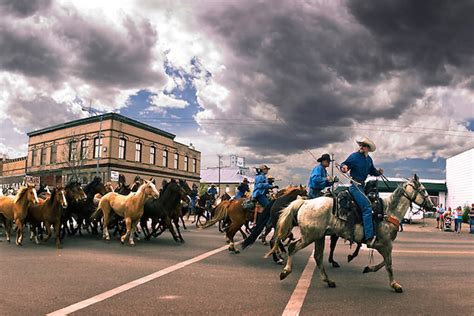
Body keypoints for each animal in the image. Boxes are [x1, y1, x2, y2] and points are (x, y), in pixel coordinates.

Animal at [266, 174, 434, 292]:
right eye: (423, 190)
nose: (432, 206)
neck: (388, 211)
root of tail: (305, 202)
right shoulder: (386, 244)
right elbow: (388, 264)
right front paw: (395, 285)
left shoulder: (383, 246)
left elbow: (384, 263)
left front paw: (368, 269)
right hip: (309, 236)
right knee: (292, 247)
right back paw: (285, 271)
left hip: (318, 236)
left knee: (318, 257)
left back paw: (329, 281)